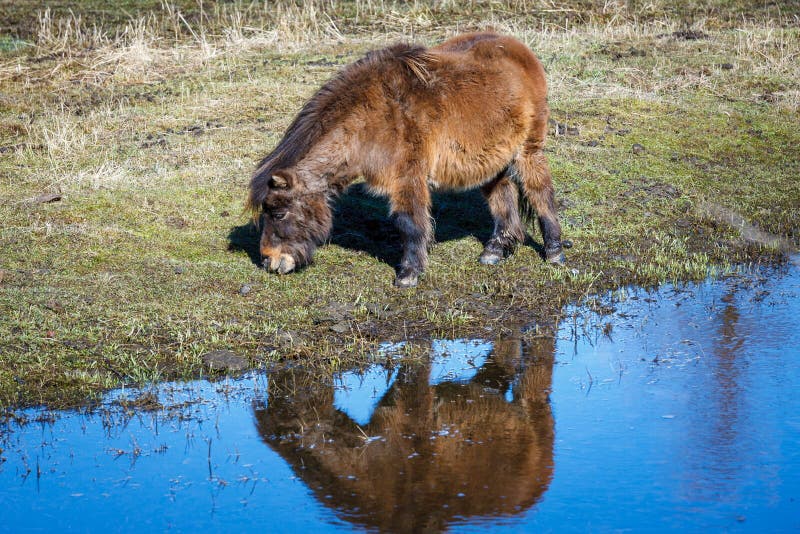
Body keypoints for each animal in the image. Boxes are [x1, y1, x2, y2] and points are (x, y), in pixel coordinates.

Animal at [247, 32, 564, 288]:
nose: (269, 261)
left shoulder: (406, 177)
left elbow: (408, 223)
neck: (371, 117)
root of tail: (519, 50)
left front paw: (408, 274)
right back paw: (495, 251)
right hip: (491, 160)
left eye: (278, 213)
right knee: (502, 197)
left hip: (528, 150)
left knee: (541, 193)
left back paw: (554, 251)